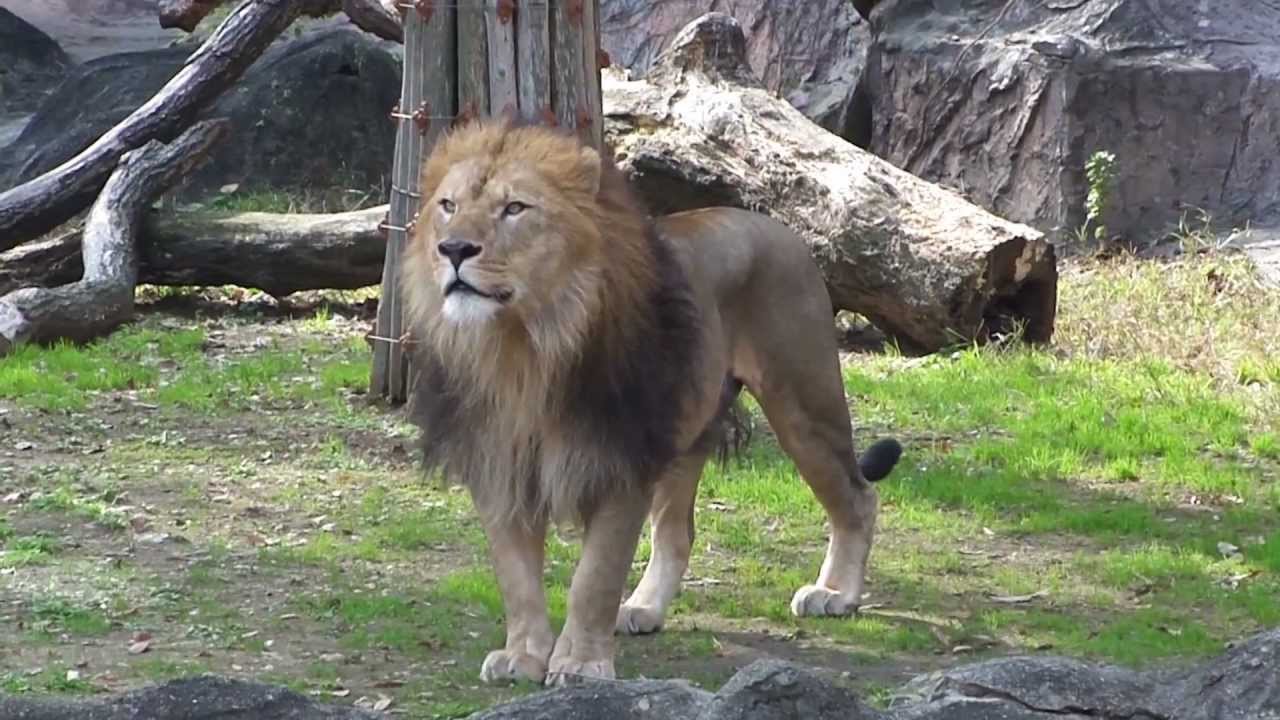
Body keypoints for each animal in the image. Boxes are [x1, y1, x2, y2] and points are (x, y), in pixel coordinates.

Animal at [400, 119, 903, 687]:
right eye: (448, 205)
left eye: (514, 209)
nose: (453, 248)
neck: (524, 348)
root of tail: (772, 224)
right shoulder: (498, 463)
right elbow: (517, 577)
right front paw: (523, 656)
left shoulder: (620, 460)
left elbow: (594, 577)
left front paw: (580, 663)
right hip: (682, 435)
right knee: (677, 532)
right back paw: (644, 607)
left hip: (802, 403)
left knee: (857, 497)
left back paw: (836, 594)